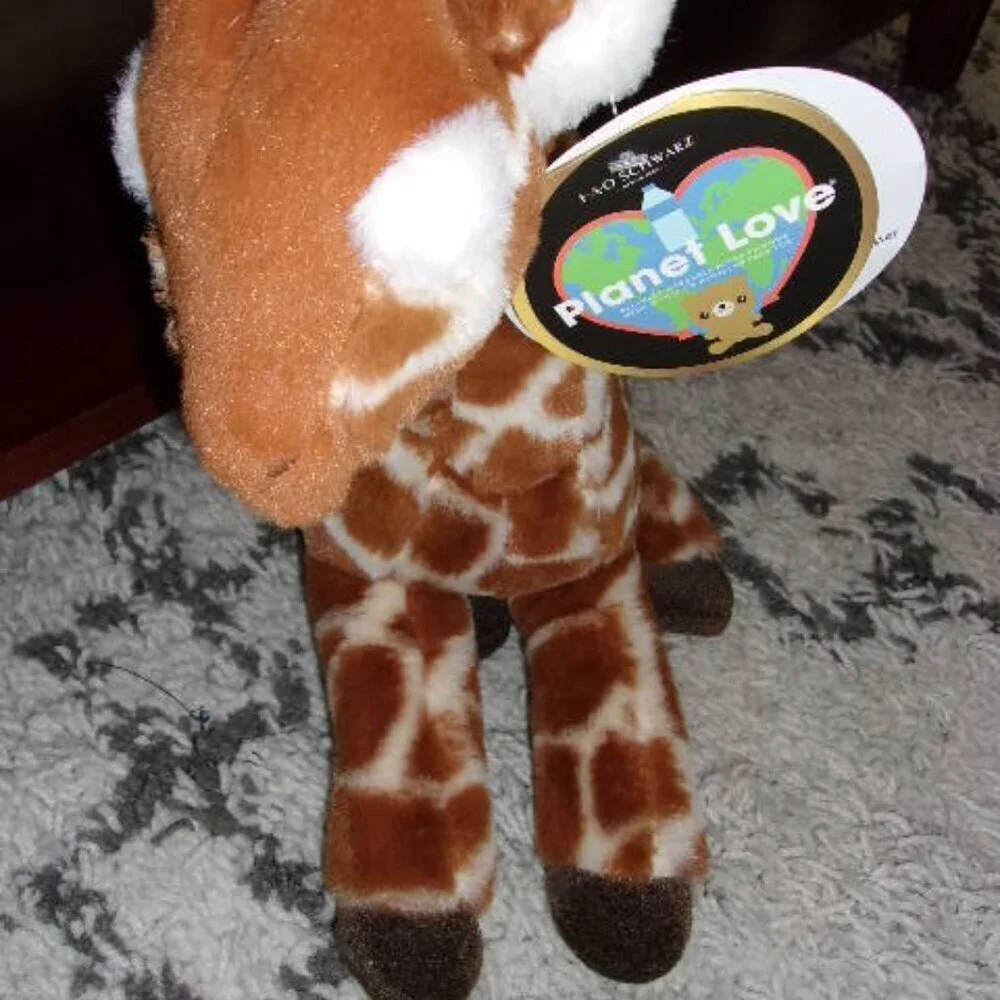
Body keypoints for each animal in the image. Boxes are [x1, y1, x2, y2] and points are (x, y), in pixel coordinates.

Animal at [303, 319, 731, 998]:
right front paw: (416, 926)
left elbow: (614, 713)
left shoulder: (594, 570)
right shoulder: (382, 579)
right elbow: (410, 754)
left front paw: (629, 893)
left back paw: (689, 566)